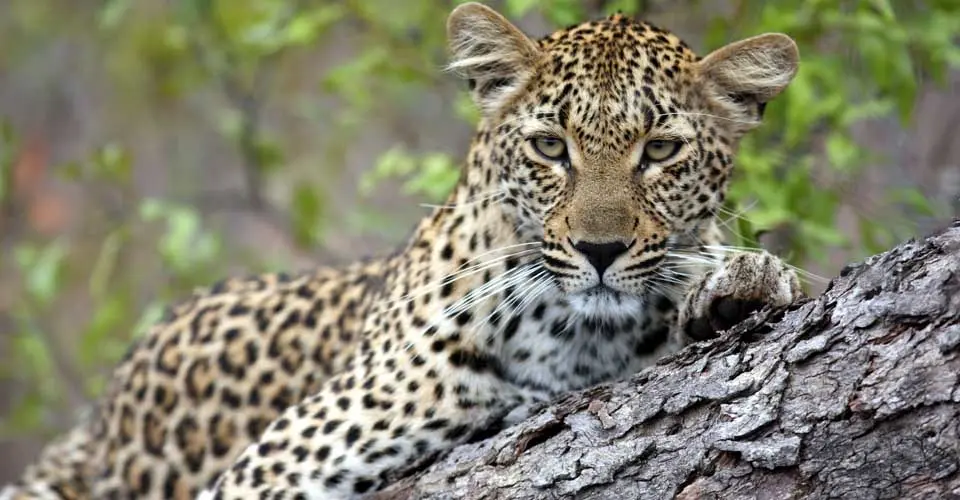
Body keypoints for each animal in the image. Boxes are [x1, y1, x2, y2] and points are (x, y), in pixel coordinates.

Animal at [2, 3, 803, 499]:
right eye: (551, 147)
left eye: (661, 151)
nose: (599, 249)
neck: (578, 338)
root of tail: (96, 424)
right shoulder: (276, 463)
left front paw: (743, 280)